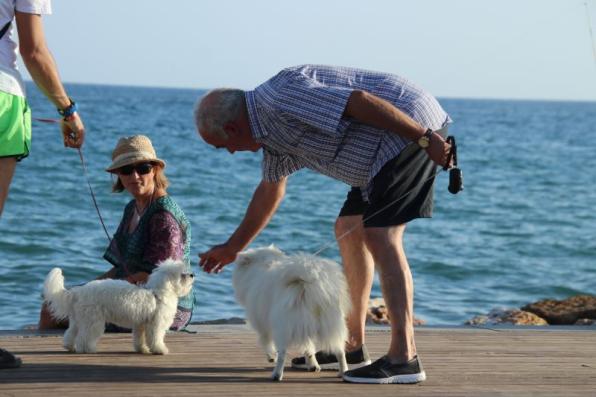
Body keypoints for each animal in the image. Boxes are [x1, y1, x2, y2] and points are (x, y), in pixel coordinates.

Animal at [44, 260, 193, 352]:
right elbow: (156, 338)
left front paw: (142, 349)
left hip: (79, 320)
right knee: (84, 338)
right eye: (182, 275)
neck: (158, 293)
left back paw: (70, 347)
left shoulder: (141, 325)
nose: (192, 274)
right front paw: (160, 350)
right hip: (93, 321)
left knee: (70, 334)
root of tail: (78, 292)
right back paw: (88, 349)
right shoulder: (155, 324)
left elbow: (140, 339)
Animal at [233, 244, 352, 380]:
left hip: (283, 329)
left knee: (282, 354)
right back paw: (343, 371)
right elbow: (309, 348)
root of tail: (305, 287)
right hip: (332, 325)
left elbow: (266, 341)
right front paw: (313, 365)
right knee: (340, 351)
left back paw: (276, 375)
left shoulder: (262, 324)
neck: (264, 265)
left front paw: (271, 356)